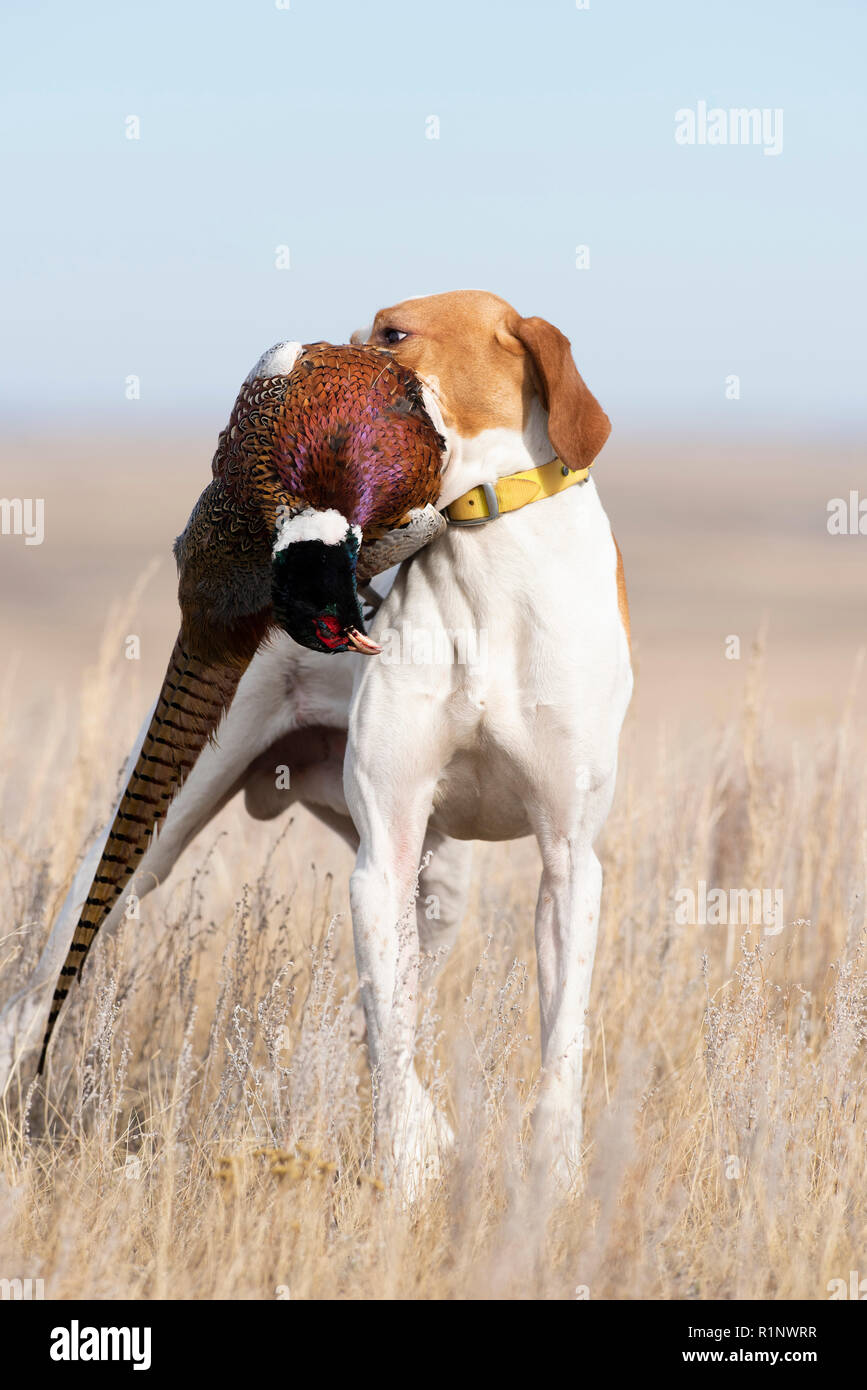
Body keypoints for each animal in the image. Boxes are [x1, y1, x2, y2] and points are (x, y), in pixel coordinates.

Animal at [3, 287, 633, 1189]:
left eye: (395, 332)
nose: (303, 351)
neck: (484, 560)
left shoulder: (568, 862)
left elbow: (559, 1041)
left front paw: (552, 1175)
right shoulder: (384, 856)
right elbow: (388, 1033)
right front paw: (405, 1166)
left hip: (442, 890)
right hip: (144, 844)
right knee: (33, 1000)